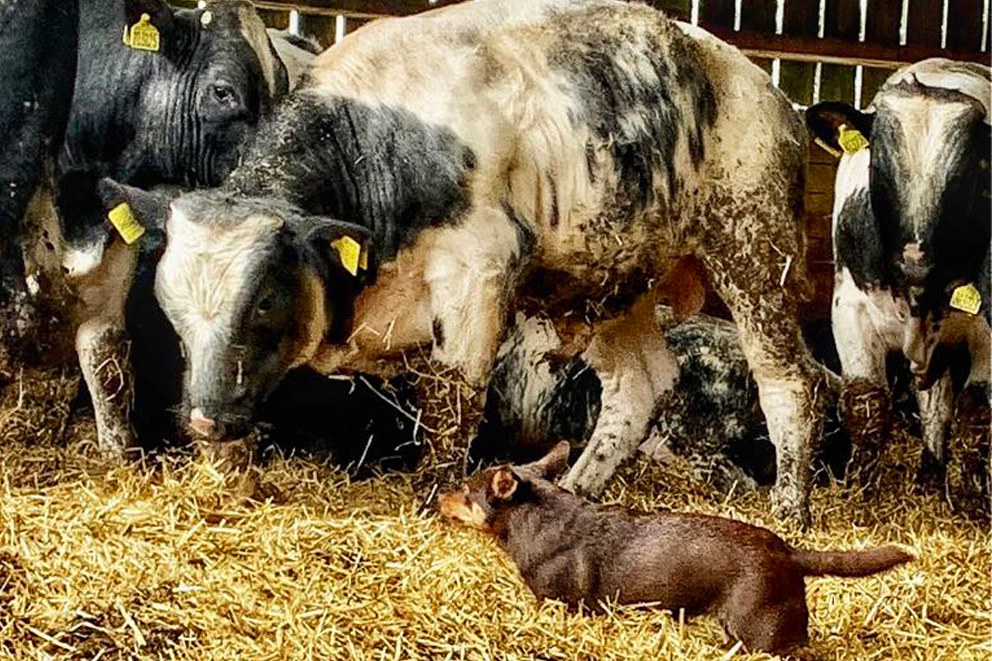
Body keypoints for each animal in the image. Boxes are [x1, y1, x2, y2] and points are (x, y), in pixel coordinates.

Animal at [109, 0, 827, 525]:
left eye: (262, 299)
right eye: (169, 305)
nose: (203, 417)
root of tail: (766, 89)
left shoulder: (478, 274)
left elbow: (454, 399)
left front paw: (435, 500)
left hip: (753, 249)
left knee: (789, 383)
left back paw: (790, 510)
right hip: (611, 284)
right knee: (638, 386)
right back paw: (578, 488)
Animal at [807, 59, 992, 510]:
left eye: (969, 176)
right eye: (878, 164)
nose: (914, 260)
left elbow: (977, 413)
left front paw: (974, 500)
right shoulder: (851, 311)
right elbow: (867, 403)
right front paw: (859, 493)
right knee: (934, 404)